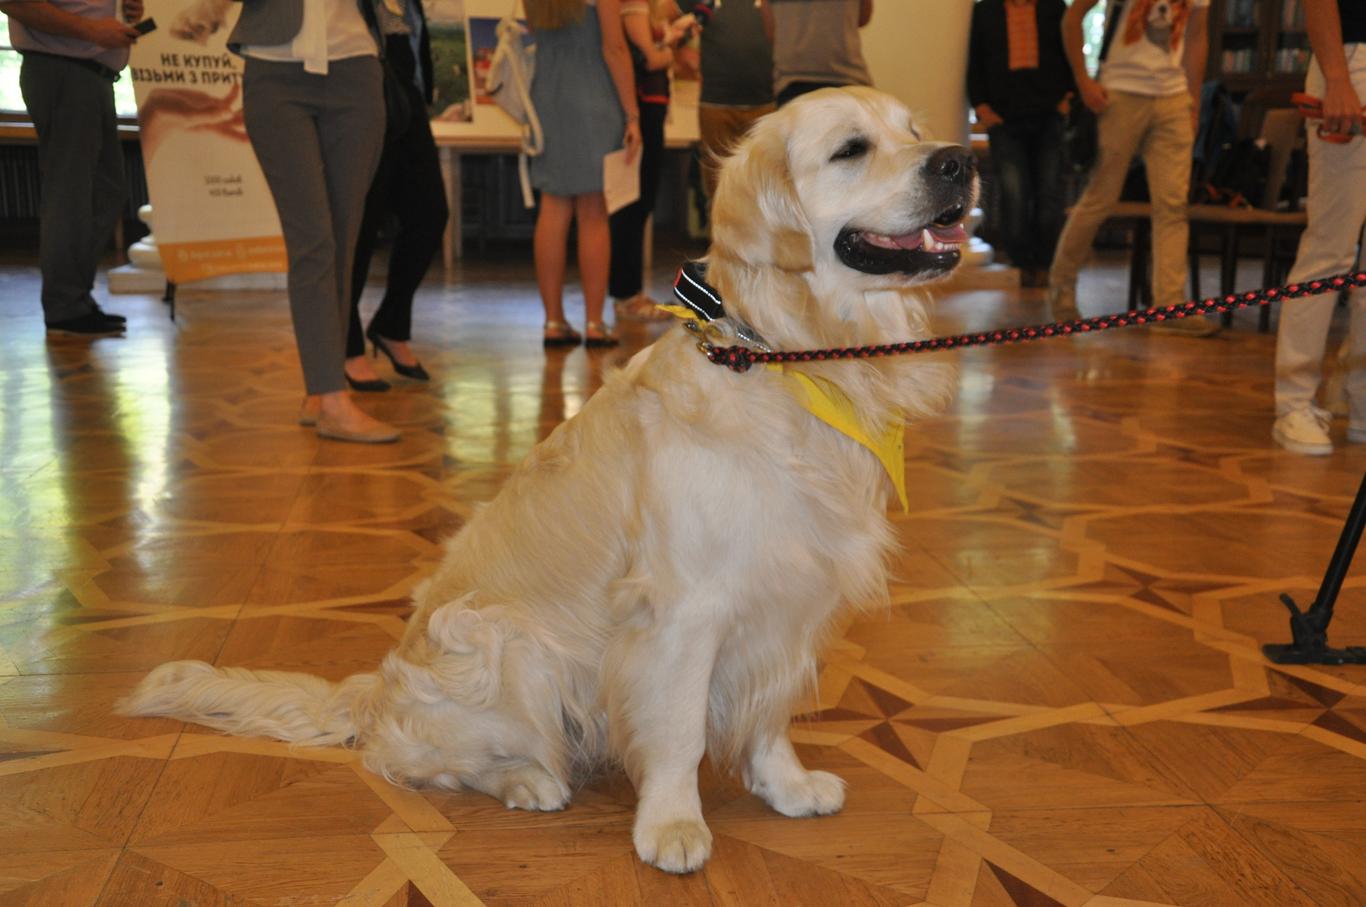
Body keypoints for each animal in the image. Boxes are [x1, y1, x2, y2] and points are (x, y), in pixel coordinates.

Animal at [122, 86, 978, 874]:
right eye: (851, 149)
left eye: (913, 129)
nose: (959, 161)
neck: (790, 357)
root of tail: (374, 689)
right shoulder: (683, 610)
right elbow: (676, 730)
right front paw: (672, 824)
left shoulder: (791, 598)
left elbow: (769, 717)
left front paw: (788, 787)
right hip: (501, 641)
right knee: (416, 761)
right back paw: (527, 779)